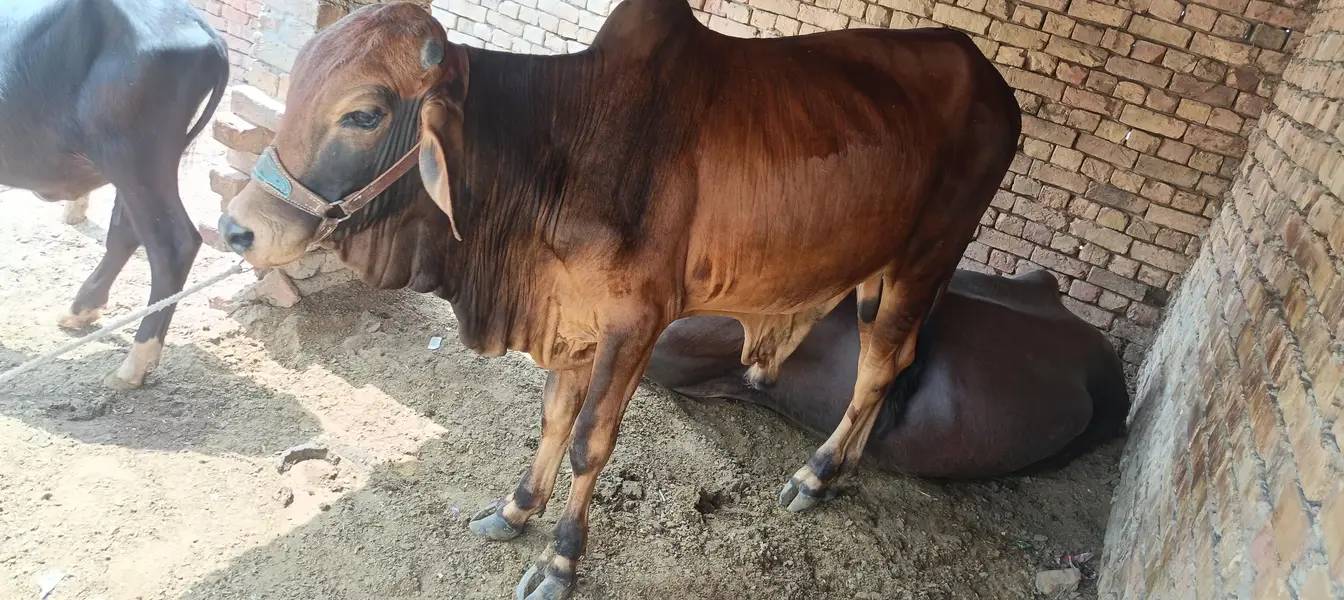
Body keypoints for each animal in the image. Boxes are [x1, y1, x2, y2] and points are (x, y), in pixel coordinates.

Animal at [0, 0, 229, 389]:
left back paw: (135, 364)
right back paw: (81, 309)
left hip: (131, 155)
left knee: (171, 244)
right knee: (127, 231)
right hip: (134, 163)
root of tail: (202, 28)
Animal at [215, 1, 1021, 597]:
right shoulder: (571, 316)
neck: (555, 150)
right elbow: (551, 417)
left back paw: (815, 475)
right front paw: (515, 509)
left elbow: (587, 443)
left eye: (365, 114)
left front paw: (560, 561)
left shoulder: (636, 324)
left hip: (926, 256)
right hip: (880, 271)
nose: (236, 226)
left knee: (880, 365)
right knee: (893, 359)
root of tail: (991, 78)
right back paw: (840, 470)